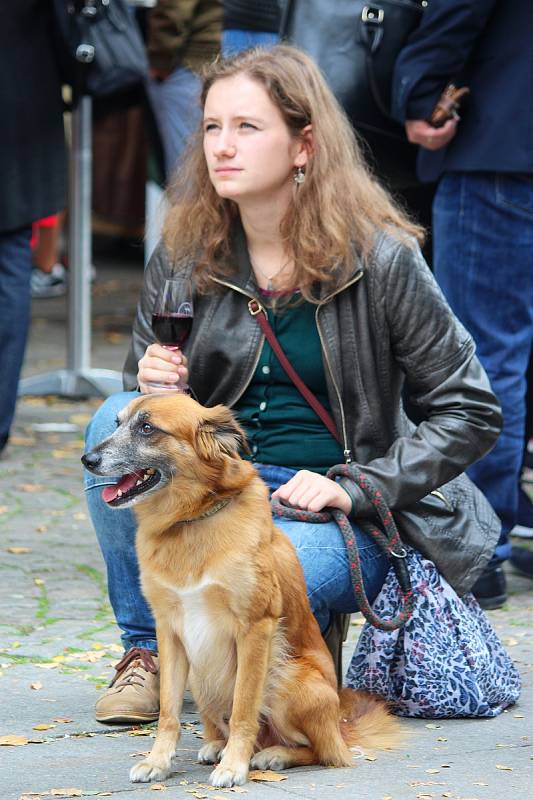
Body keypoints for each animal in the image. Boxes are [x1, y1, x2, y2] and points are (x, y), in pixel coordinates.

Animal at [82, 394, 400, 788]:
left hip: (286, 676)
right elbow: (169, 711)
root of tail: (341, 725)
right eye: (118, 423)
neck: (191, 520)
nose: (88, 460)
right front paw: (158, 761)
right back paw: (216, 745)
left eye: (147, 428)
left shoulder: (255, 628)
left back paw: (273, 754)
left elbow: (244, 709)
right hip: (201, 674)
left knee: (324, 751)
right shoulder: (169, 631)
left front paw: (235, 766)